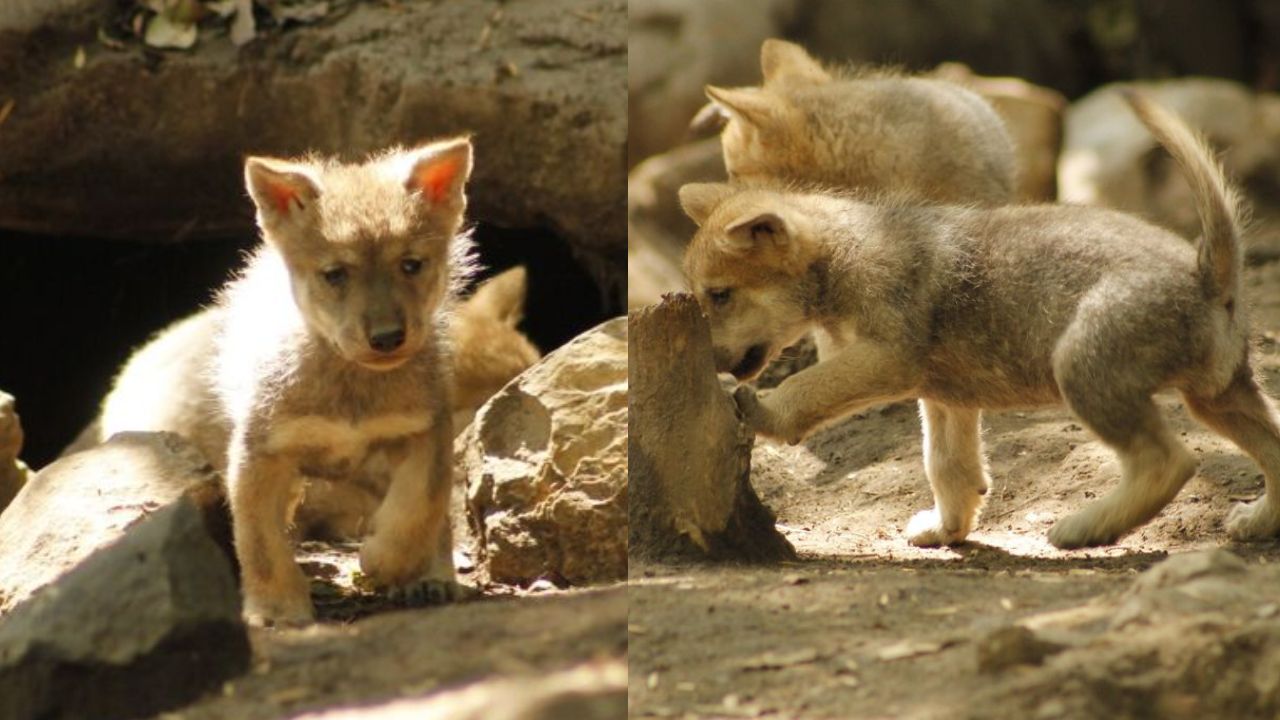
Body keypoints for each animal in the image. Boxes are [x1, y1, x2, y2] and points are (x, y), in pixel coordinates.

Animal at [680, 91, 1280, 549]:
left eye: (720, 295)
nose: (707, 361)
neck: (847, 253)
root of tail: (1208, 271)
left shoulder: (886, 359)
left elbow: (808, 387)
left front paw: (763, 411)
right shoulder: (945, 397)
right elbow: (949, 468)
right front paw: (947, 530)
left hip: (1084, 370)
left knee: (1168, 461)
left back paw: (1085, 528)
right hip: (1218, 396)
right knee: (1268, 448)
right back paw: (1259, 520)